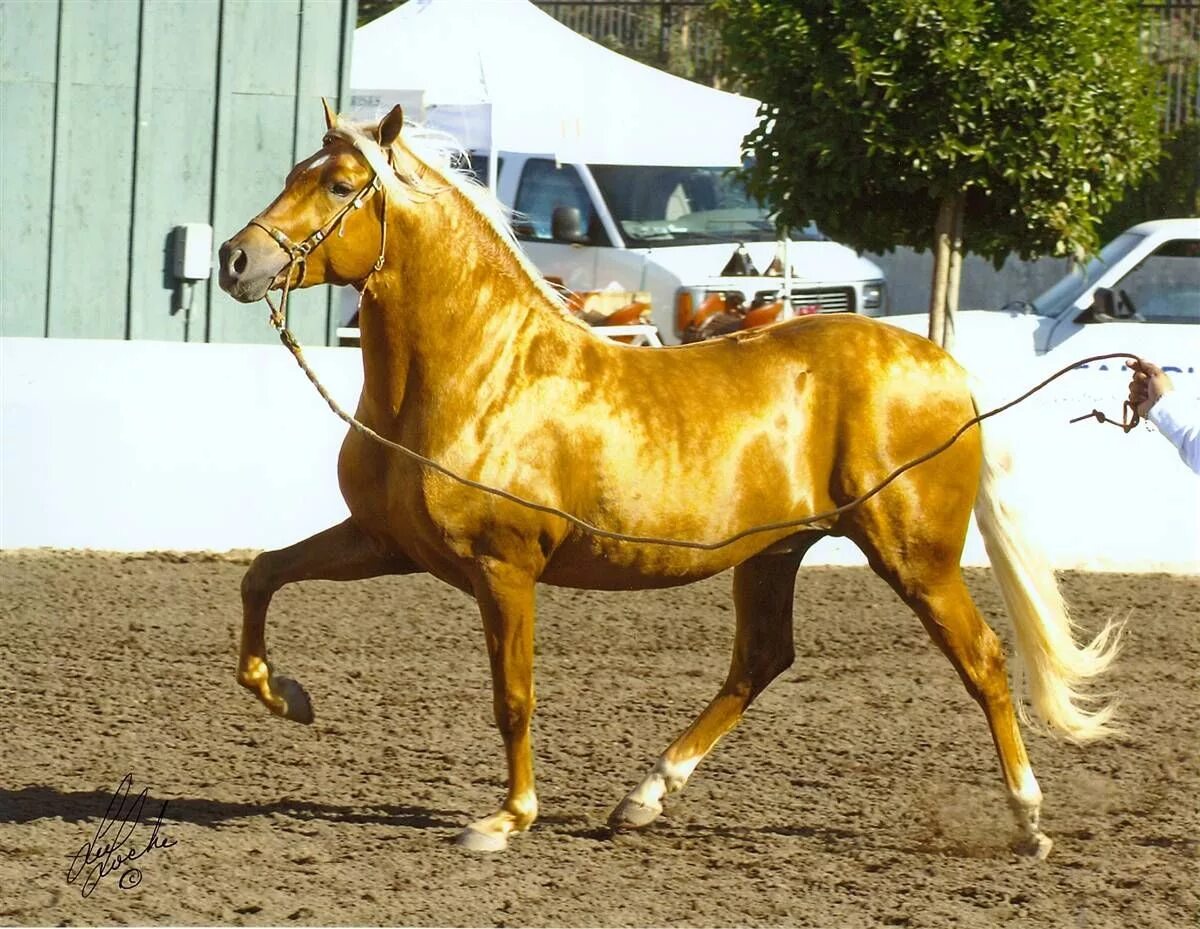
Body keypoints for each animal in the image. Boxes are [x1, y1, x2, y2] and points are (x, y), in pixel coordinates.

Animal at [218, 102, 1123, 859]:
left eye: (339, 184)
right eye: (293, 171)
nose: (236, 259)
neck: (477, 374)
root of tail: (950, 370)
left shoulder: (504, 567)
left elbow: (514, 694)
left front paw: (506, 819)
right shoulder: (385, 541)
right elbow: (262, 575)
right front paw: (287, 695)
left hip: (916, 558)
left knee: (985, 660)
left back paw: (1028, 818)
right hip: (774, 554)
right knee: (761, 659)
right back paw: (644, 797)